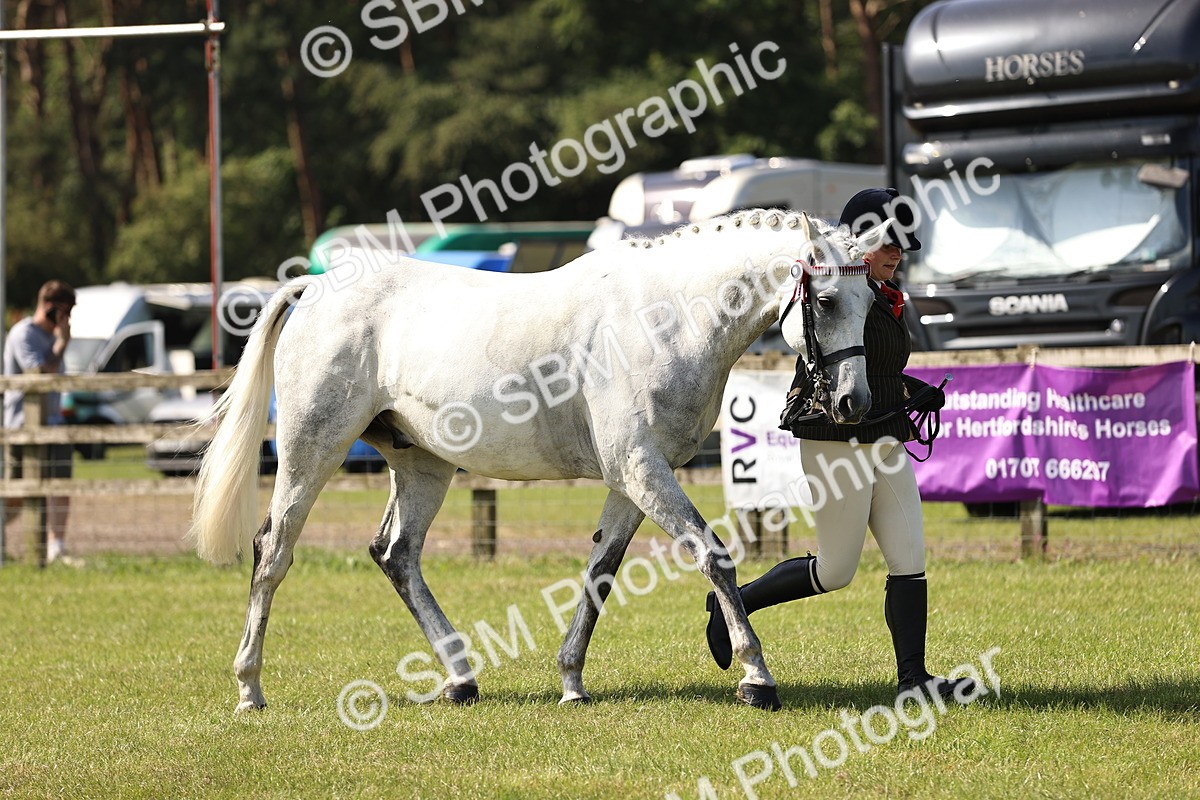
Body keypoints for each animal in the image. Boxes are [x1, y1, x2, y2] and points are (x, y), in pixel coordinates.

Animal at [189, 208, 887, 713]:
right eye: (826, 301)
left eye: (875, 304)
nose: (853, 402)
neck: (667, 316)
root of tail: (317, 288)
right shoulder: (642, 469)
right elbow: (713, 555)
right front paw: (756, 677)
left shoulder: (630, 479)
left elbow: (600, 571)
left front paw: (571, 681)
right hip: (312, 451)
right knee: (273, 552)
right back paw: (250, 689)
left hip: (422, 465)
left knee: (396, 555)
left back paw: (461, 680)